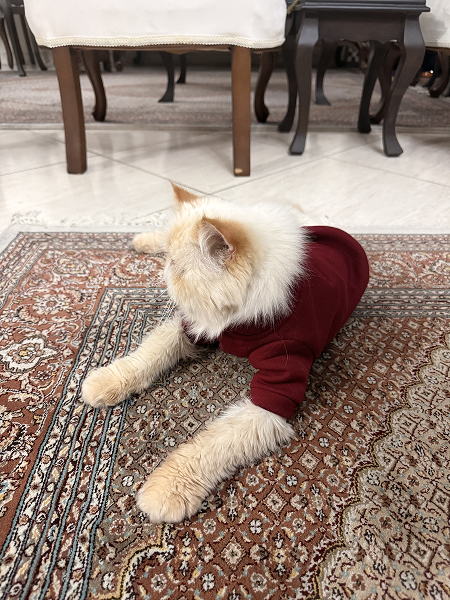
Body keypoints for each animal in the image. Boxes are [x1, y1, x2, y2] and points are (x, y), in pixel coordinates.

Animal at [81, 183, 369, 523]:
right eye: (170, 263)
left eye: (178, 269)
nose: (163, 273)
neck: (239, 322)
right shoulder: (190, 327)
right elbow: (147, 354)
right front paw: (104, 383)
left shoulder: (273, 395)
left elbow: (209, 446)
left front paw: (165, 491)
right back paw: (141, 240)